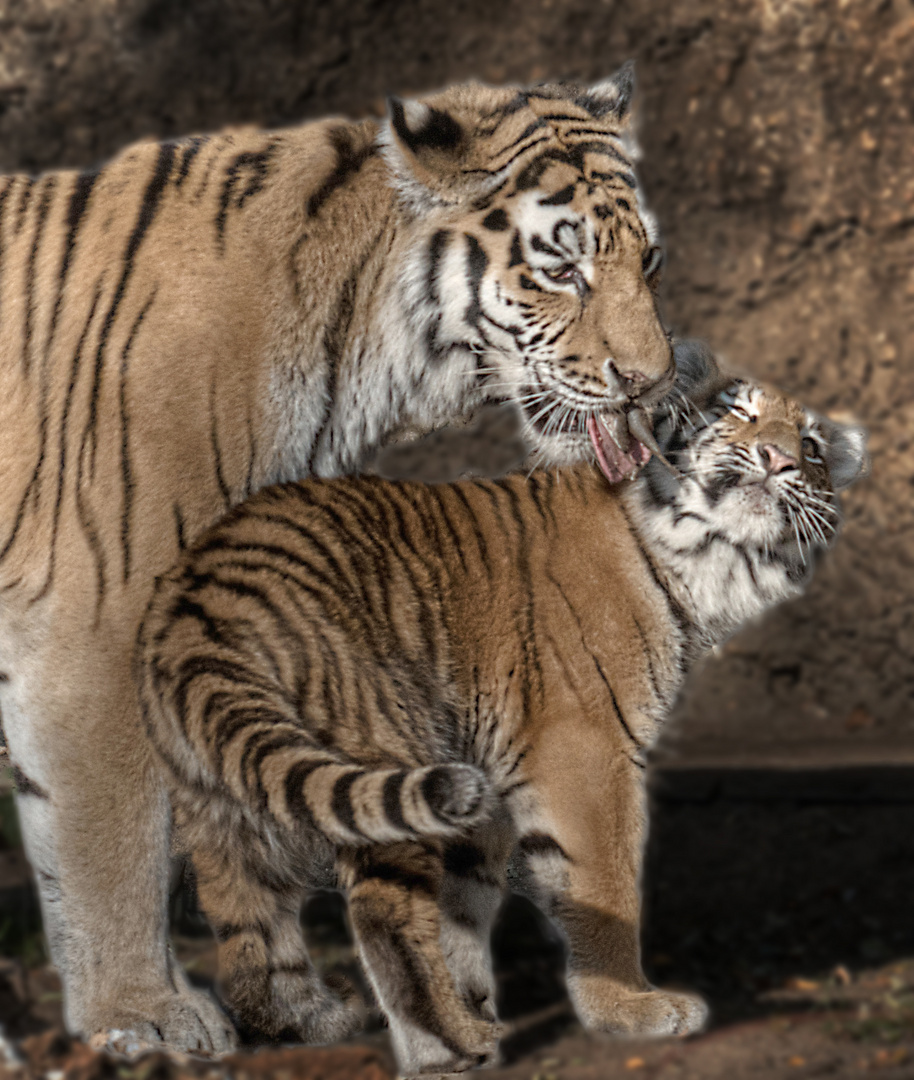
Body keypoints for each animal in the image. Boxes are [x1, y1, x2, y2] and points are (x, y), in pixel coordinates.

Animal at [0, 69, 674, 1054]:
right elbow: (110, 834)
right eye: (561, 268)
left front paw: (295, 1006)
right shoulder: (101, 614)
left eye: (647, 262)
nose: (652, 384)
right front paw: (143, 1013)